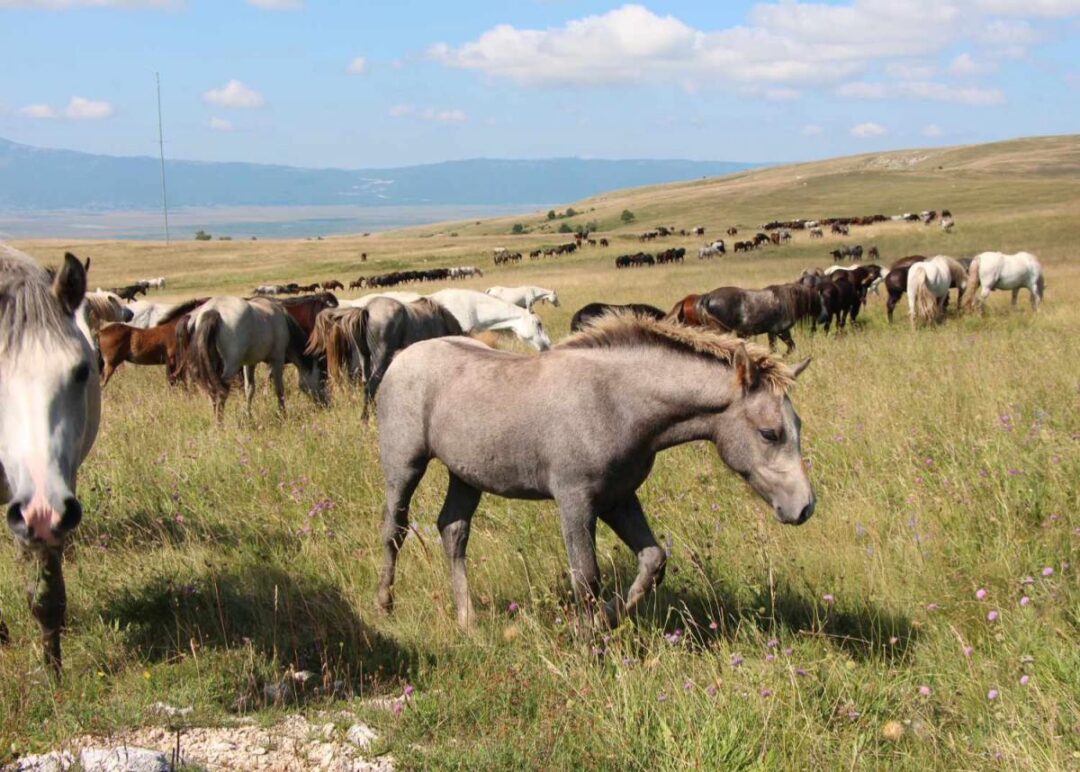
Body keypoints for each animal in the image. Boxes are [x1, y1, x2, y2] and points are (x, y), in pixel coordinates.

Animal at [183, 298, 326, 423]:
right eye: (322, 378)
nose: (326, 404)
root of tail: (214, 310)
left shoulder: (249, 363)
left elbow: (249, 390)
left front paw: (248, 416)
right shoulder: (277, 359)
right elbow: (279, 389)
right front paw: (283, 414)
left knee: (212, 391)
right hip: (231, 366)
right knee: (221, 392)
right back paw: (220, 425)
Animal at [375, 315, 812, 634]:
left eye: (798, 425)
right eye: (769, 433)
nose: (805, 507)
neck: (616, 402)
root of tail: (401, 357)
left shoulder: (618, 498)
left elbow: (653, 562)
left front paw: (604, 621)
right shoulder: (576, 502)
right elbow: (586, 578)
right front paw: (586, 638)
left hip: (466, 475)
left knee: (453, 531)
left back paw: (467, 622)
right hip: (404, 465)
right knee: (395, 529)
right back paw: (385, 603)